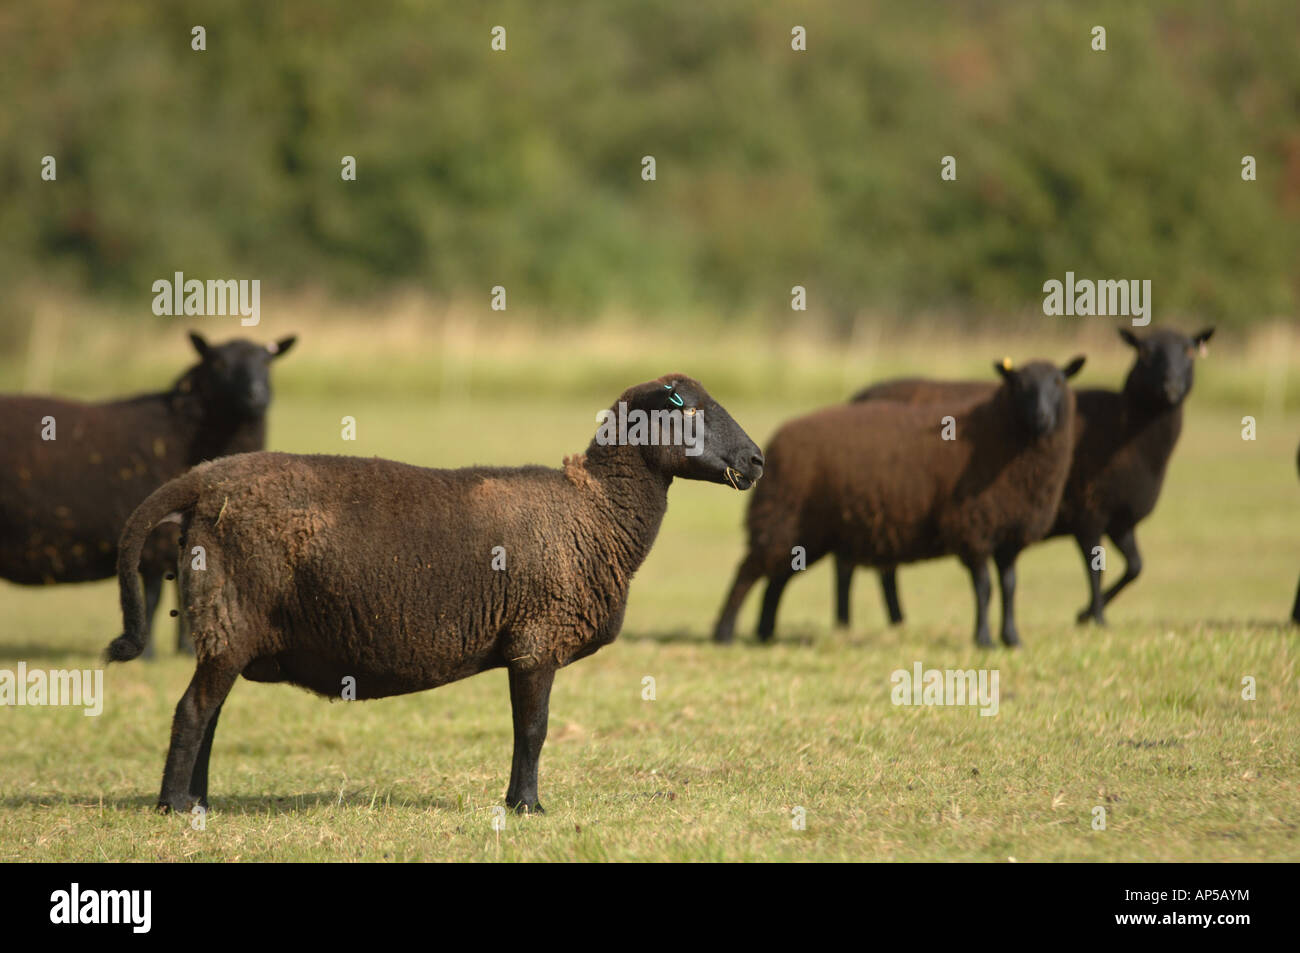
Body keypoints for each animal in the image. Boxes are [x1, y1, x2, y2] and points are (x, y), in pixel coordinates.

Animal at [0, 328, 297, 655]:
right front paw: (152, 653)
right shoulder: (155, 540)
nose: (256, 397)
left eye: (267, 362)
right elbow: (154, 597)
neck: (183, 429)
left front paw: (186, 649)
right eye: (218, 363)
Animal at [106, 374, 764, 816]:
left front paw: (518, 803)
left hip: (228, 628)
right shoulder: (536, 637)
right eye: (690, 409)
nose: (757, 460)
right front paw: (527, 808)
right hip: (229, 616)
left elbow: (527, 729)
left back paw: (199, 801)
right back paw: (174, 806)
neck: (594, 510)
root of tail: (205, 480)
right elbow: (534, 729)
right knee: (193, 712)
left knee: (209, 713)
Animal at [712, 356, 1086, 647]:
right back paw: (725, 632)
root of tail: (777, 438)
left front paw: (1012, 638)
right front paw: (984, 640)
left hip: (806, 532)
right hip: (781, 517)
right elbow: (984, 587)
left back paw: (765, 633)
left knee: (776, 579)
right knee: (747, 572)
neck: (998, 434)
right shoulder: (972, 527)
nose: (1042, 418)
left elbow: (1009, 587)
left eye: (1058, 381)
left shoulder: (1009, 533)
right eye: (1019, 384)